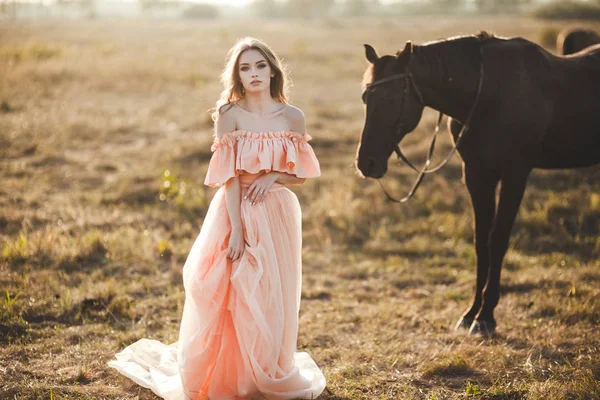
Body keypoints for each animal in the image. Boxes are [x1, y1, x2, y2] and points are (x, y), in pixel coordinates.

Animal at [356, 32, 600, 336]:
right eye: (366, 97)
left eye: (391, 98)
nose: (367, 163)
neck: (487, 95)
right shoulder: (476, 174)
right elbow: (480, 241)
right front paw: (471, 313)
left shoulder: (515, 174)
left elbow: (497, 240)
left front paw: (486, 317)